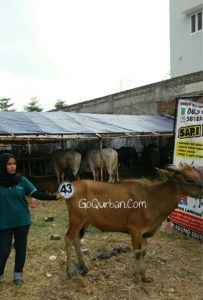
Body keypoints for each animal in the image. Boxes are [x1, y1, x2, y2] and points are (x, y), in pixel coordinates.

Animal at [64, 163, 202, 282]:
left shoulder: (145, 233)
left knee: (77, 239)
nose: (202, 189)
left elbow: (143, 252)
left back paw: (85, 266)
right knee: (68, 239)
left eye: (198, 175)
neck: (152, 198)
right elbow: (136, 253)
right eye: (189, 179)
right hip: (76, 220)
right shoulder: (135, 229)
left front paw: (145, 276)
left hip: (85, 222)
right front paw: (136, 277)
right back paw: (69, 272)